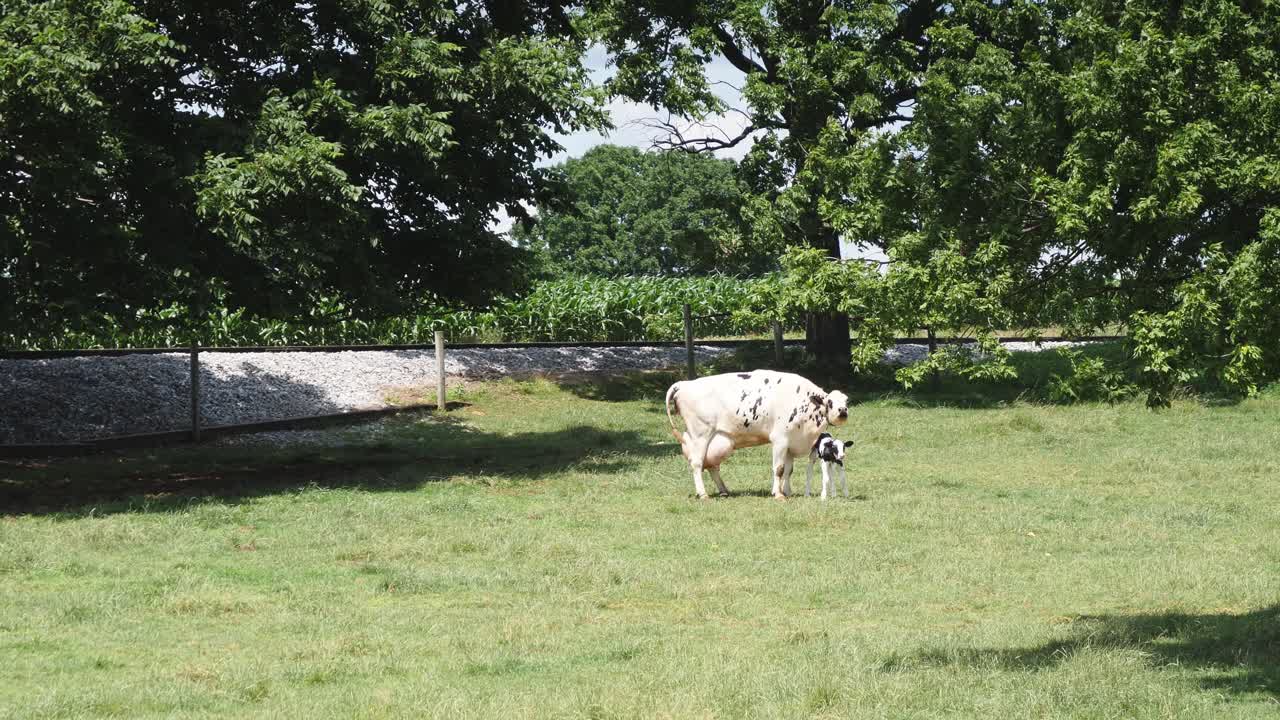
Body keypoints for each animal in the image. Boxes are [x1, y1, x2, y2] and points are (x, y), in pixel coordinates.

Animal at [665, 370, 850, 499]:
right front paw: (778, 494)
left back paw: (724, 491)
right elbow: (779, 469)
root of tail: (684, 384)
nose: (843, 411)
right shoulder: (780, 439)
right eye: (830, 402)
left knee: (711, 466)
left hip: (719, 440)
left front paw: (787, 492)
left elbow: (789, 470)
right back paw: (703, 494)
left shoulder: (790, 443)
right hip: (700, 435)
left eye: (846, 401)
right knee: (697, 463)